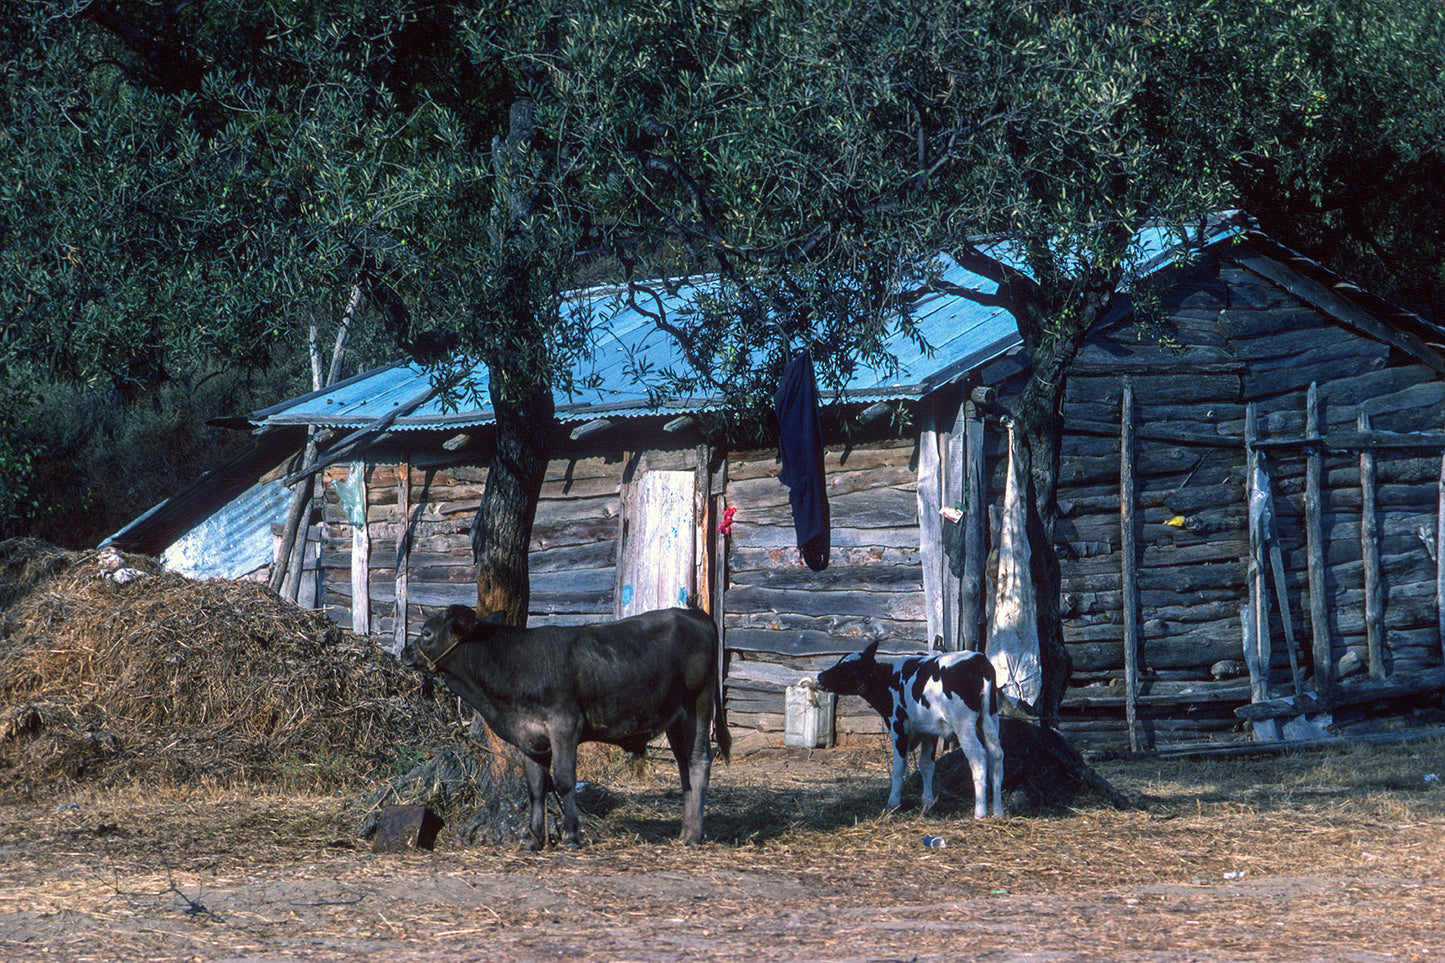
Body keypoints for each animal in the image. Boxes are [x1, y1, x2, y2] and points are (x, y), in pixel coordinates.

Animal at [401, 604, 728, 844]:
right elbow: (536, 787)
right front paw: (534, 840)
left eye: (427, 632)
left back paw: (693, 835)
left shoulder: (564, 725)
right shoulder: (530, 737)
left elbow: (563, 780)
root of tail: (694, 614)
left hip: (698, 705)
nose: (405, 652)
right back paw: (685, 830)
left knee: (699, 761)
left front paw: (571, 834)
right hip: (675, 718)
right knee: (685, 766)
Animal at [820, 636, 999, 815]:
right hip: (990, 718)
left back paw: (980, 812)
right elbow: (926, 765)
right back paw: (998, 812)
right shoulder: (929, 731)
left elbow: (899, 766)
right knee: (996, 754)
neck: (888, 682)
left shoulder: (898, 727)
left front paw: (893, 803)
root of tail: (977, 658)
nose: (820, 676)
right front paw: (927, 803)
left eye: (846, 666)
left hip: (963, 724)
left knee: (978, 756)